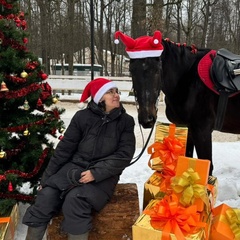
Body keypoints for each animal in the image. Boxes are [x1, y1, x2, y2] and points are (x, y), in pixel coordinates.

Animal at [115, 31, 240, 174]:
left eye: (157, 69)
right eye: (131, 71)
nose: (147, 119)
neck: (188, 79)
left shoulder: (202, 131)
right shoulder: (189, 129)